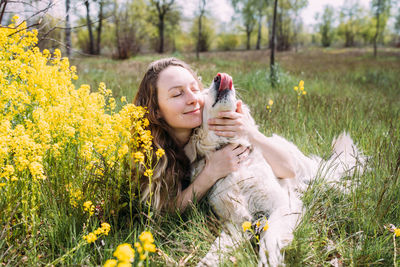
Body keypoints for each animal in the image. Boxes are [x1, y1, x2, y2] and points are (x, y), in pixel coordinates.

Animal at [184, 73, 366, 267]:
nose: (220, 77)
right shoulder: (236, 223)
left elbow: (269, 239)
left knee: (330, 180)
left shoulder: (282, 205)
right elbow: (213, 252)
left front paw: (269, 260)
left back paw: (350, 189)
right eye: (203, 95)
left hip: (307, 170)